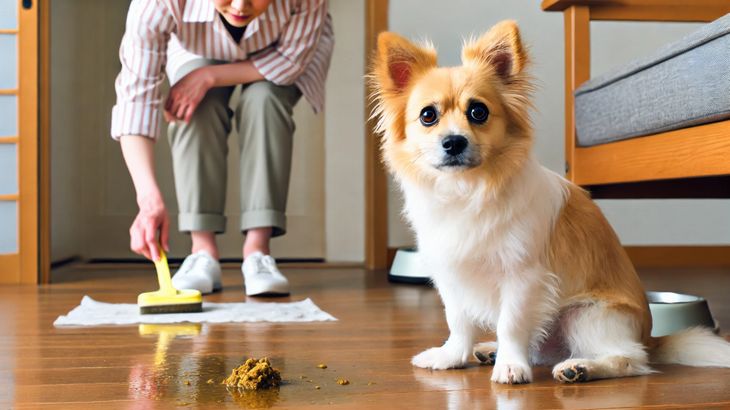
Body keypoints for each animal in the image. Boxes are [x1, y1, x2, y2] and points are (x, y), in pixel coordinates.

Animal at [370, 20, 728, 384]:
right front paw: (452, 357)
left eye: (478, 112)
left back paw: (580, 367)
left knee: (630, 360)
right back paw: (491, 350)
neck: (467, 190)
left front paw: (511, 367)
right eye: (428, 116)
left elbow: (511, 325)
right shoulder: (452, 277)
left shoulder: (523, 277)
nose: (454, 141)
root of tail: (649, 337)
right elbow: (458, 322)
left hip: (585, 316)